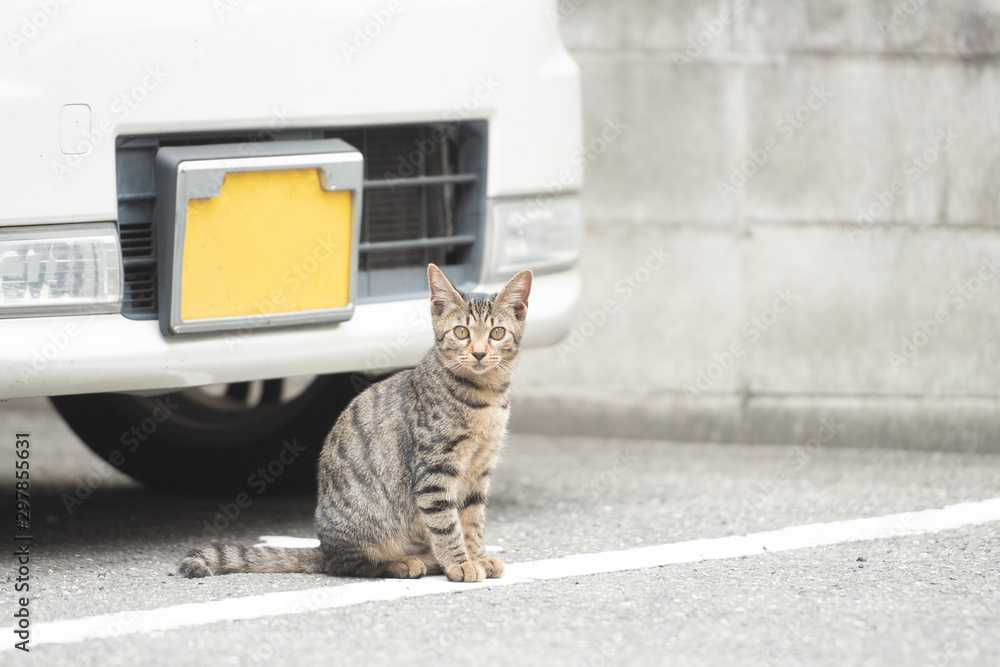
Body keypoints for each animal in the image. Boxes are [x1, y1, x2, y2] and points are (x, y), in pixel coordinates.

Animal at [177, 264, 532, 580]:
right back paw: (403, 563)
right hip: (366, 525)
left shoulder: (479, 472)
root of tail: (323, 546)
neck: (485, 398)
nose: (479, 353)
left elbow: (473, 521)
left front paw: (477, 556)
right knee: (348, 564)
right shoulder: (434, 470)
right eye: (461, 332)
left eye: (497, 333)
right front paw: (460, 563)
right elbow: (446, 524)